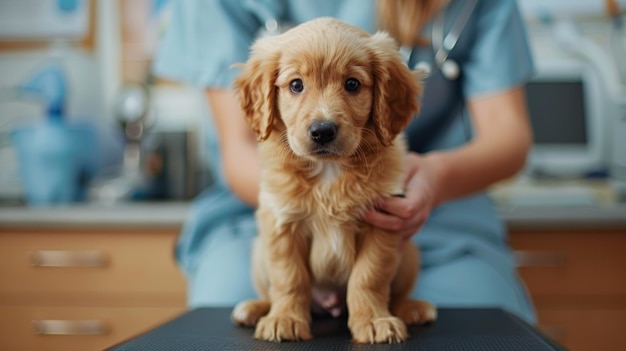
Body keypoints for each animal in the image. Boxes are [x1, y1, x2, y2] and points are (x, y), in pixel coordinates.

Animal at [229, 17, 434, 344]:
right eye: (296, 85)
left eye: (352, 84)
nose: (322, 131)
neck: (329, 172)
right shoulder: (281, 223)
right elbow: (289, 277)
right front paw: (285, 319)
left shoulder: (383, 222)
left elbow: (370, 277)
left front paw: (374, 321)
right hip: (259, 252)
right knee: (270, 289)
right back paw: (255, 308)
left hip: (409, 255)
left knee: (396, 293)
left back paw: (411, 307)